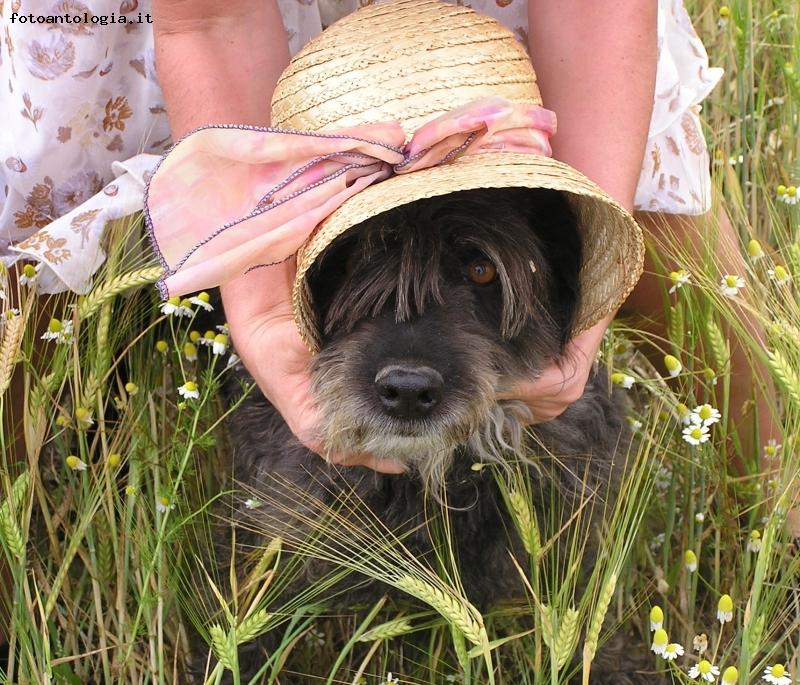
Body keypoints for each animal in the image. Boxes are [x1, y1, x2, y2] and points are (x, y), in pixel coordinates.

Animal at [208, 184, 656, 680]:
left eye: (482, 270)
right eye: (351, 259)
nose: (407, 390)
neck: (431, 476)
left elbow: (578, 611)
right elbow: (256, 617)